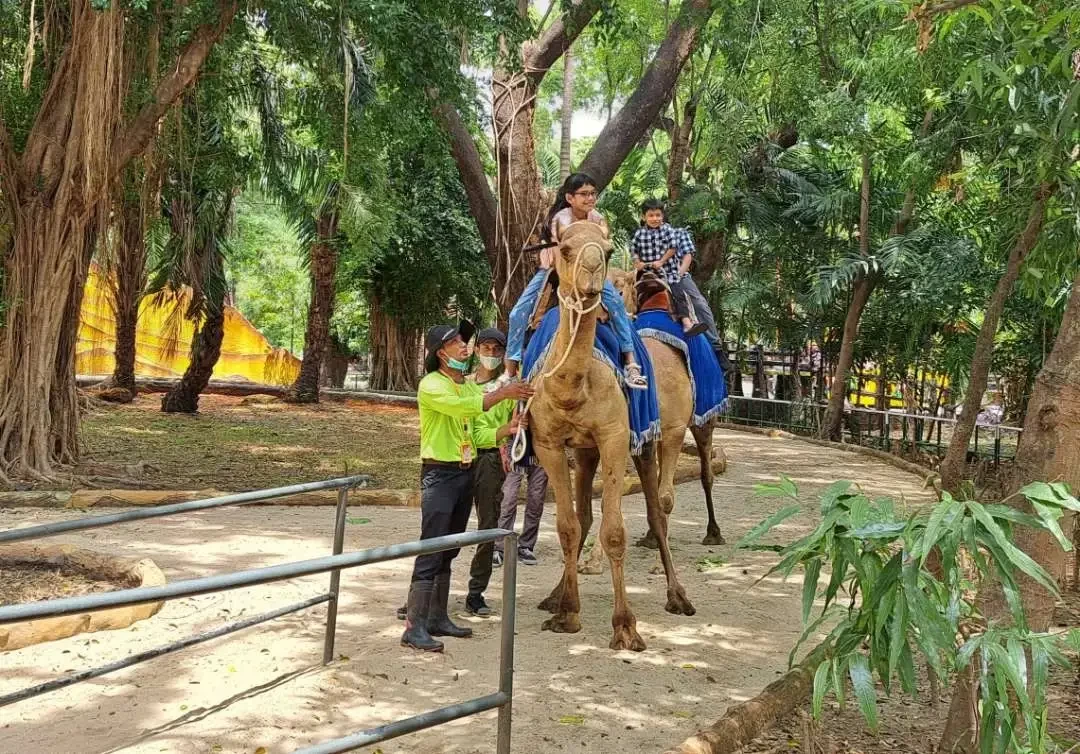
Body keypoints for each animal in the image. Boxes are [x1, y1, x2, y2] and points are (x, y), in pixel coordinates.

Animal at [527, 220, 695, 648]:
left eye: (604, 249)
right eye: (564, 248)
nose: (592, 278)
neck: (573, 389)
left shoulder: (615, 437)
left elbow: (615, 530)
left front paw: (625, 626)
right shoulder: (549, 443)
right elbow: (568, 526)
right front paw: (568, 613)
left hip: (646, 441)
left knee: (658, 510)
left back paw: (678, 595)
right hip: (586, 452)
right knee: (586, 517)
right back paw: (554, 597)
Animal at [583, 266, 725, 574]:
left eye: (619, 288)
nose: (596, 315)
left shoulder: (673, 430)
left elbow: (665, 497)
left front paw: (663, 565)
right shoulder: (627, 435)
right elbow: (611, 498)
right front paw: (593, 561)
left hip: (703, 420)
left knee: (706, 473)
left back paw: (713, 532)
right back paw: (650, 536)